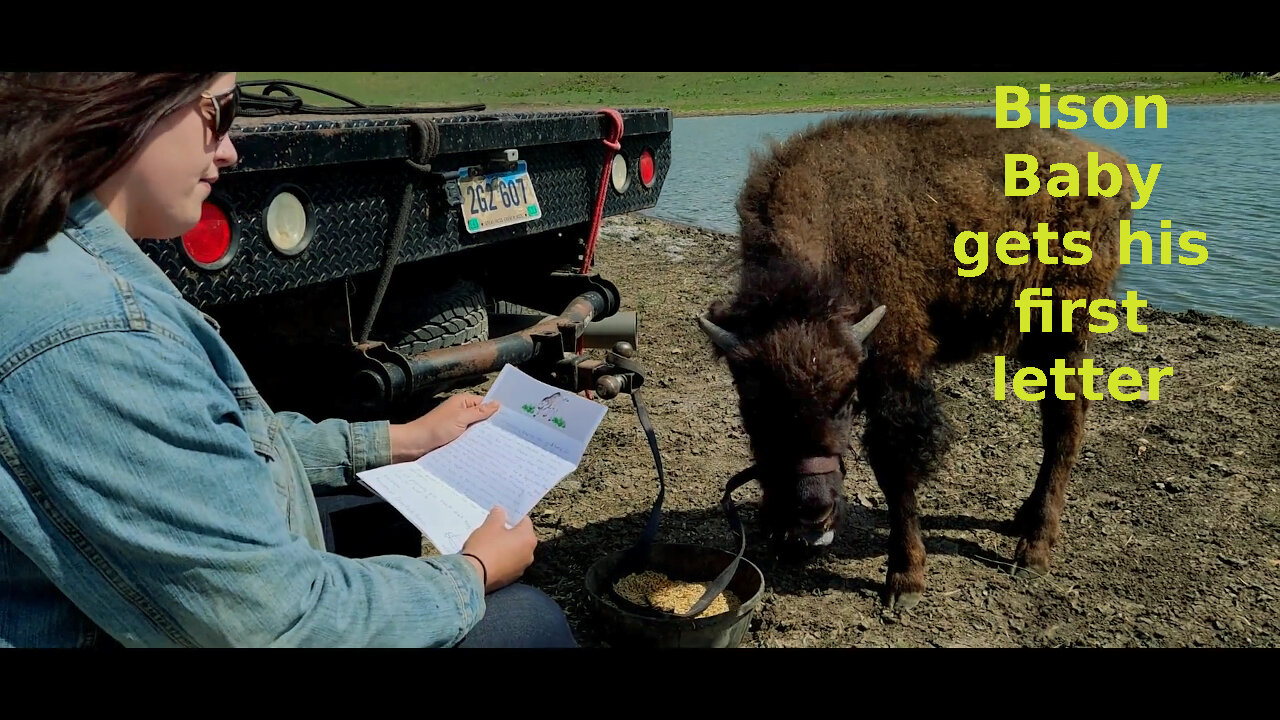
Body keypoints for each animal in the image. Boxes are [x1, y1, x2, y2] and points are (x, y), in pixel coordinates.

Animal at [706, 109, 1136, 607]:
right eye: (755, 410)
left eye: (846, 402)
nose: (813, 513)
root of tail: (1112, 164)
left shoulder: (896, 366)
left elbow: (897, 466)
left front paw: (905, 579)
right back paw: (1023, 521)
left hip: (1064, 329)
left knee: (1065, 424)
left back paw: (1033, 551)